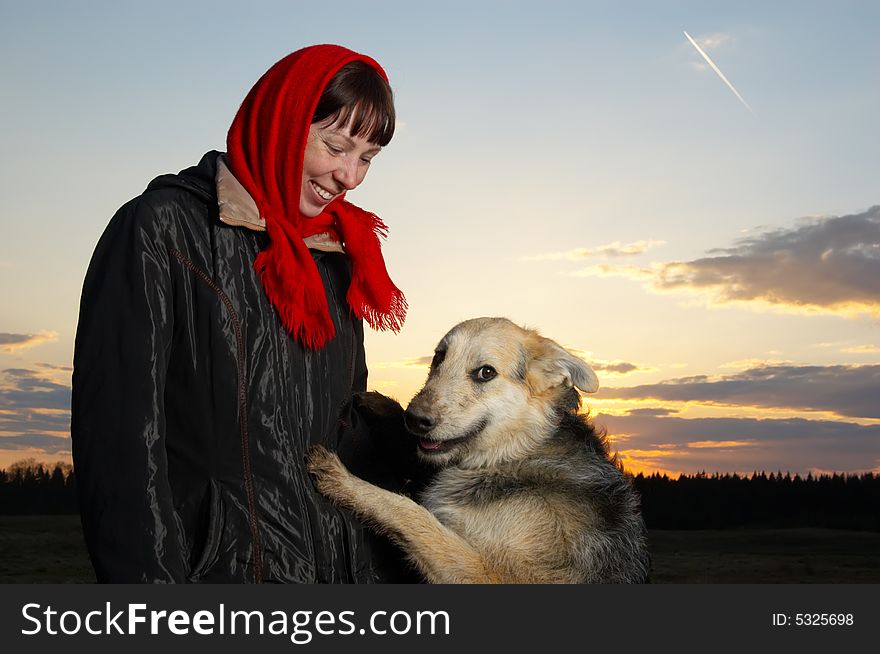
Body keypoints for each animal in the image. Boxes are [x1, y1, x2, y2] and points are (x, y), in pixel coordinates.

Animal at [308, 318, 648, 584]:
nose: (415, 419)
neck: (516, 451)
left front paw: (343, 481)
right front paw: (382, 404)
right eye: (438, 358)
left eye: (486, 373)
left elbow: (410, 514)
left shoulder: (488, 574)